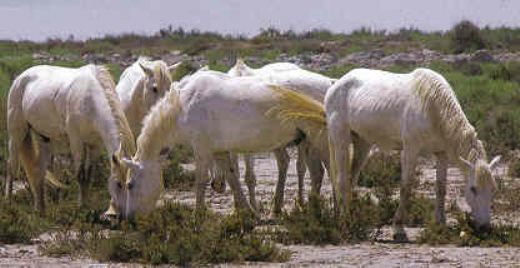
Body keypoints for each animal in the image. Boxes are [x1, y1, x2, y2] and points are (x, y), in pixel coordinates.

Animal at [6, 63, 135, 213]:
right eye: (118, 183)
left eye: (131, 185)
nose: (124, 214)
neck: (90, 100)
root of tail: (20, 78)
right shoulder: (76, 141)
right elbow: (80, 175)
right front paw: (81, 207)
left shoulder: (95, 145)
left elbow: (89, 175)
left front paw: (86, 206)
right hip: (16, 134)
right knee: (11, 166)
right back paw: (9, 203)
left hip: (45, 139)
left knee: (38, 170)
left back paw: (41, 210)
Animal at [114, 72, 324, 219]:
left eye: (130, 185)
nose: (129, 219)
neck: (183, 105)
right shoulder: (219, 151)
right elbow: (232, 178)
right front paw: (247, 212)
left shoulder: (202, 150)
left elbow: (200, 181)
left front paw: (198, 215)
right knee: (310, 171)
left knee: (316, 172)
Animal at [219, 59, 334, 214]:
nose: (217, 186)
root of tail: (329, 82)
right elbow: (235, 173)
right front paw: (238, 209)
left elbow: (249, 177)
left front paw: (252, 207)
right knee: (310, 169)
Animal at [268, 68, 500, 240]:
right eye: (473, 188)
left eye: (492, 189)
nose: (485, 228)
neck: (432, 107)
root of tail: (336, 84)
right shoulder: (410, 150)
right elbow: (406, 187)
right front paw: (398, 228)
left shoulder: (441, 154)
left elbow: (441, 188)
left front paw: (440, 223)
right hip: (339, 137)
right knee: (341, 179)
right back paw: (345, 220)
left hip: (363, 143)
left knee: (351, 179)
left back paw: (351, 215)